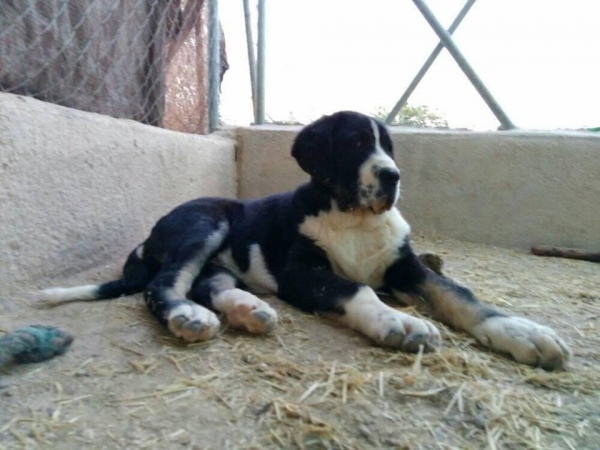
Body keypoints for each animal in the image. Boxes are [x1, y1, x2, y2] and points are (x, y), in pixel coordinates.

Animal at [43, 111, 572, 370]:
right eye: (356, 143)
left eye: (388, 147)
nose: (393, 176)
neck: (352, 217)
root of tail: (151, 233)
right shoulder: (302, 273)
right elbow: (355, 289)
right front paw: (397, 320)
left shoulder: (406, 265)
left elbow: (457, 293)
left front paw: (520, 331)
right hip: (205, 223)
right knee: (166, 286)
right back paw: (189, 316)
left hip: (219, 259)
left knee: (209, 284)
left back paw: (246, 309)